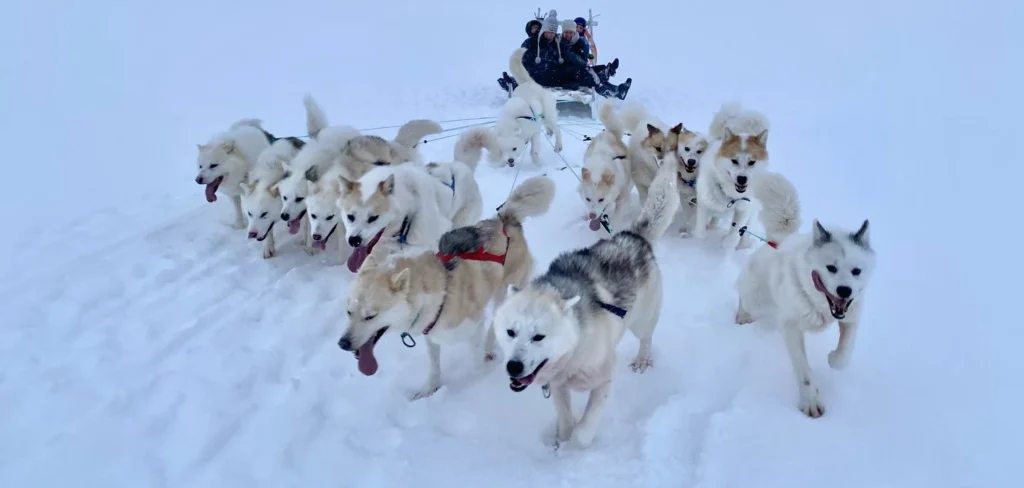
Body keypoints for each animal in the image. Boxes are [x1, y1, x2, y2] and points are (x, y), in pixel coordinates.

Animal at [337, 174, 557, 398]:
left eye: (370, 316)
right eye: (349, 312)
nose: (343, 344)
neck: (441, 289)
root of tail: (505, 220)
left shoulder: (474, 326)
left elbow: (476, 360)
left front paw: (477, 378)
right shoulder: (431, 336)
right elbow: (434, 365)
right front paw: (429, 389)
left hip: (505, 289)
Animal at [491, 150, 684, 446]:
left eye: (539, 336)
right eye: (511, 332)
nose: (513, 366)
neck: (572, 354)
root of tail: (633, 236)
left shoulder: (604, 380)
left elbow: (583, 431)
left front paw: (575, 444)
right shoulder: (558, 388)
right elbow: (565, 419)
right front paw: (560, 440)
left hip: (642, 322)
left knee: (646, 338)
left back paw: (642, 359)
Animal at [577, 100, 630, 230]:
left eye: (601, 199)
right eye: (588, 198)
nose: (591, 215)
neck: (599, 168)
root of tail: (609, 132)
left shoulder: (623, 198)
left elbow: (617, 218)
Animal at [696, 101, 770, 249]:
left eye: (752, 162)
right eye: (734, 160)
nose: (742, 179)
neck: (731, 195)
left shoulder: (744, 208)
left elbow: (736, 230)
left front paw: (728, 243)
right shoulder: (704, 202)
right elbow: (700, 229)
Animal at [733, 170, 876, 419]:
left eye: (856, 271)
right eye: (831, 268)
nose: (845, 290)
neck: (821, 307)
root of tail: (779, 239)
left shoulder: (851, 317)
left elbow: (844, 354)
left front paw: (834, 358)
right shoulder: (791, 329)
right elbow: (804, 371)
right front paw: (811, 401)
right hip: (756, 297)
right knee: (742, 293)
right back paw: (743, 314)